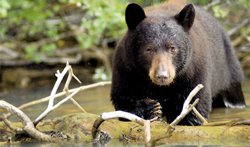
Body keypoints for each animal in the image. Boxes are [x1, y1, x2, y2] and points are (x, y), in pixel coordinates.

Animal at [110, 2, 245, 125]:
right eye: (149, 49)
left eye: (172, 48)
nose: (162, 76)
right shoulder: (126, 69)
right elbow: (123, 98)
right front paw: (151, 108)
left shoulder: (195, 72)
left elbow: (194, 105)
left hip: (228, 70)